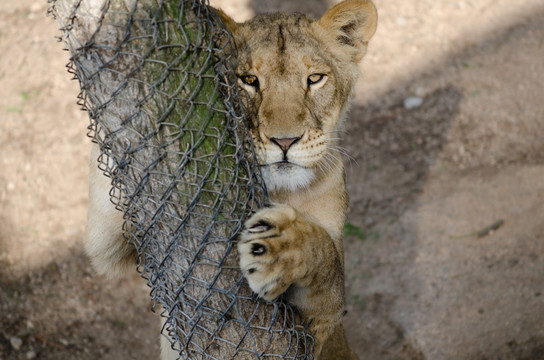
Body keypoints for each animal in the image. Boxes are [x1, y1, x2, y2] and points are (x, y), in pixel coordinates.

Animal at [87, 0, 380, 358]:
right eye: (249, 80)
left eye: (315, 79)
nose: (285, 141)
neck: (281, 190)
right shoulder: (110, 242)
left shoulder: (321, 329)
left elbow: (325, 259)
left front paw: (280, 245)